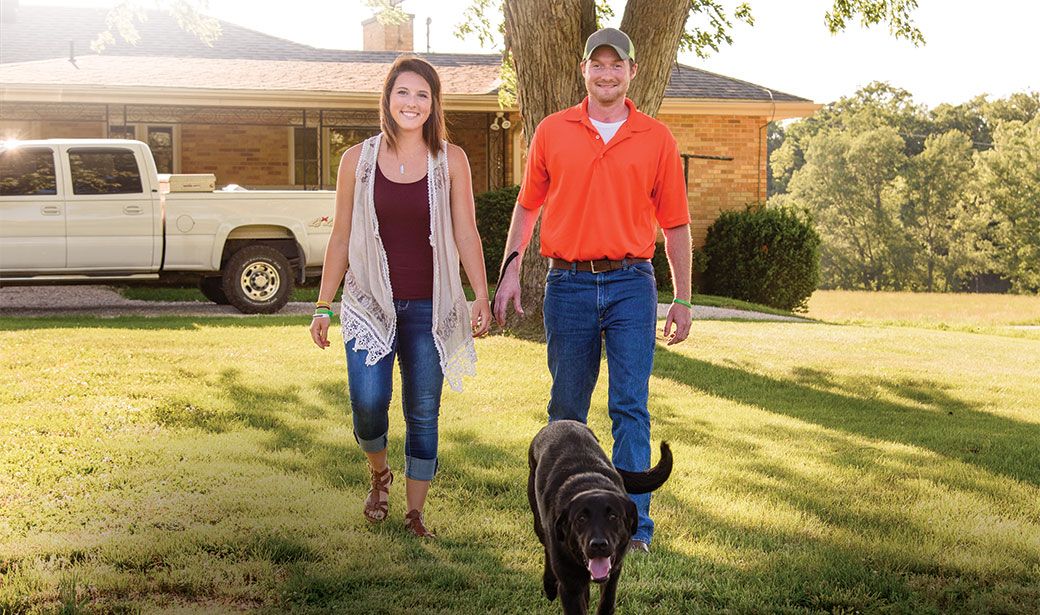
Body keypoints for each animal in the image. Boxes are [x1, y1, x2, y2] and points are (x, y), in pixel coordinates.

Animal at [528, 420, 673, 611]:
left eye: (613, 517)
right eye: (581, 519)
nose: (598, 545)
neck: (589, 483)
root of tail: (562, 421)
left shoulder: (614, 572)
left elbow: (607, 601)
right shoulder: (569, 587)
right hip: (539, 521)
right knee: (545, 544)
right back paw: (550, 584)